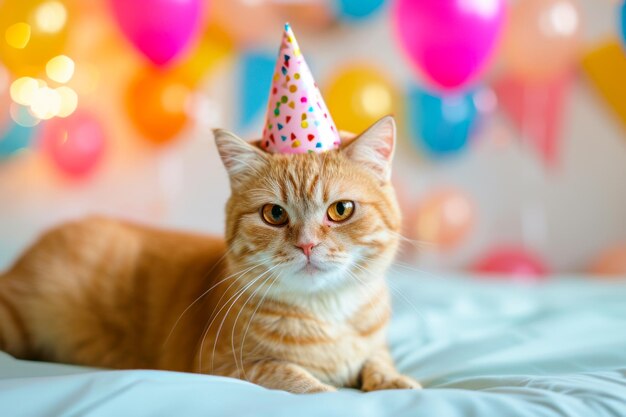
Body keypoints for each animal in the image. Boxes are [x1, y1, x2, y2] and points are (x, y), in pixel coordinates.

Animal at [1, 115, 420, 392]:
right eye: (275, 214)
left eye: (341, 210)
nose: (306, 245)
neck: (327, 310)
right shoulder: (222, 365)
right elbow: (293, 376)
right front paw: (325, 389)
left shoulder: (375, 346)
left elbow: (378, 360)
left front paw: (396, 381)